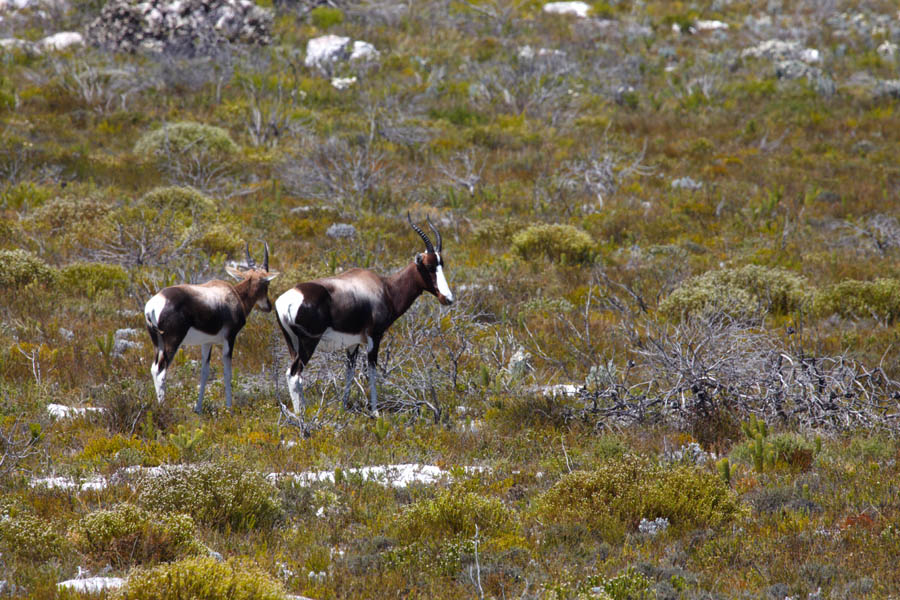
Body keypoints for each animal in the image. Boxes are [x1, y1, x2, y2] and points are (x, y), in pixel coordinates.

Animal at [144, 244, 280, 412]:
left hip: (158, 343)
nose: (268, 306)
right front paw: (229, 408)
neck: (231, 294)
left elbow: (204, 372)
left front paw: (198, 409)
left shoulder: (207, 342)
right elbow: (227, 372)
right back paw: (163, 407)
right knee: (160, 371)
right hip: (172, 342)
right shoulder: (229, 338)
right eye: (267, 283)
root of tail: (153, 306)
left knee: (153, 368)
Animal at [274, 216, 454, 418]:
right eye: (429, 266)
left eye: (441, 264)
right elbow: (372, 371)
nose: (447, 298)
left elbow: (349, 371)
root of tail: (286, 300)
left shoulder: (352, 343)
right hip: (309, 343)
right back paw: (301, 415)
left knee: (291, 374)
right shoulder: (374, 336)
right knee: (295, 374)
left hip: (293, 343)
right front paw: (375, 411)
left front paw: (343, 408)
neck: (385, 288)